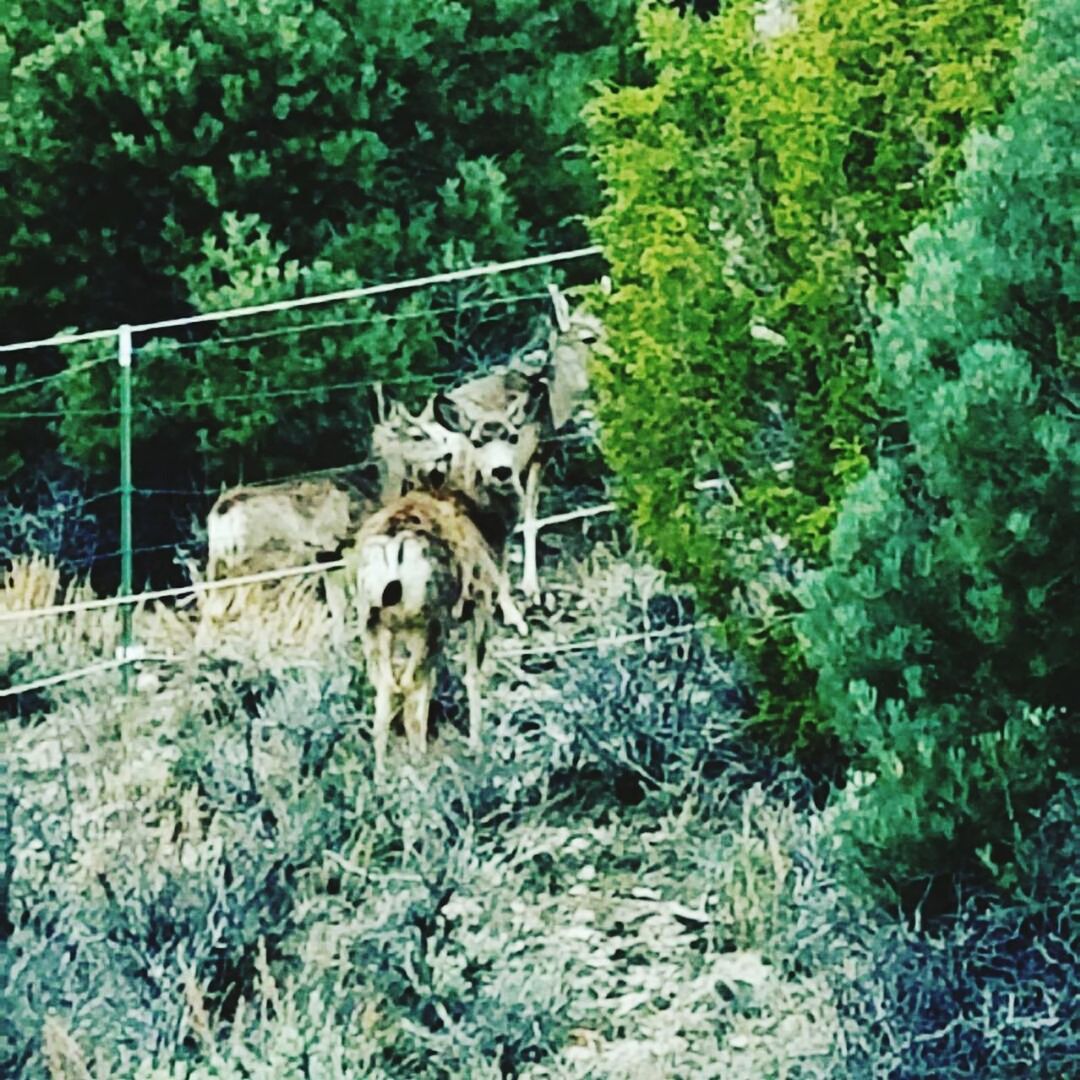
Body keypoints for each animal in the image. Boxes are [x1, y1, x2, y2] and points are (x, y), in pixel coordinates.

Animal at [345, 490, 527, 777]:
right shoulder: (481, 603)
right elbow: (473, 676)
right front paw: (477, 746)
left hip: (374, 624)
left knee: (387, 690)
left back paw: (383, 775)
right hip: (429, 620)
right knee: (410, 689)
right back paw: (420, 767)